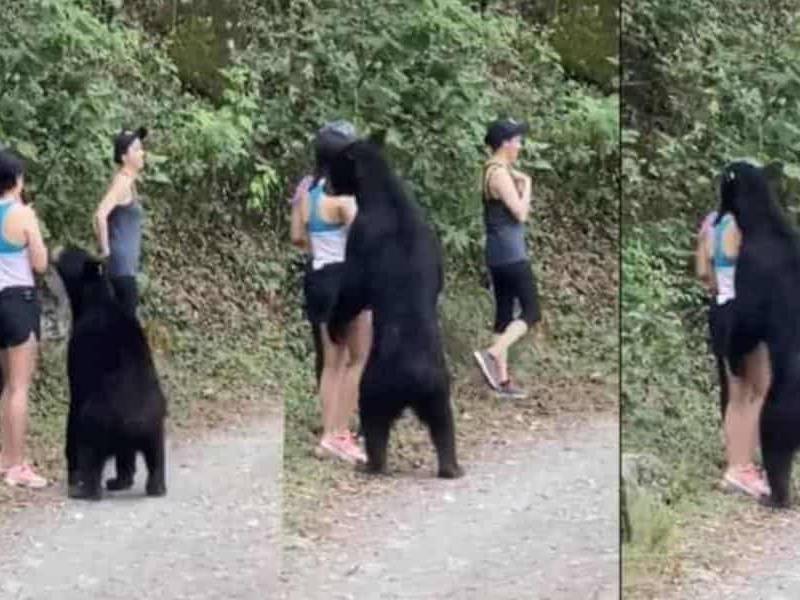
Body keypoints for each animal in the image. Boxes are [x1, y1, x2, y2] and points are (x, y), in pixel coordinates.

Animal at [54, 246, 167, 500]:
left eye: (70, 253)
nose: (55, 249)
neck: (96, 300)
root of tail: (135, 424)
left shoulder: (79, 351)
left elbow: (75, 399)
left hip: (98, 419)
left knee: (90, 450)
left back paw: (85, 489)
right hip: (155, 425)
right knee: (154, 456)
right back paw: (149, 485)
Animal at [325, 136, 462, 479]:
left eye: (335, 165)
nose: (326, 184)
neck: (382, 192)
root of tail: (414, 380)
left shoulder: (363, 231)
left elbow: (354, 288)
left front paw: (335, 324)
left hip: (375, 383)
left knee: (373, 419)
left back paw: (371, 464)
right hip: (439, 388)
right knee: (444, 424)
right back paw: (451, 466)